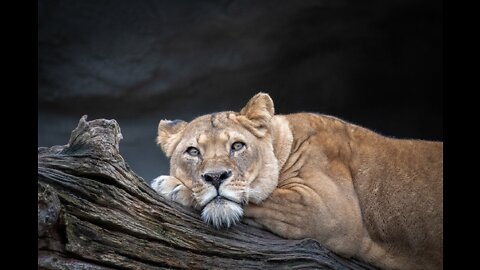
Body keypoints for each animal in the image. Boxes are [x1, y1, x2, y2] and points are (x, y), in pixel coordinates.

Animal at [152, 92, 444, 268]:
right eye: (193, 152)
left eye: (237, 146)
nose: (215, 177)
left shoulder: (331, 211)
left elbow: (263, 197)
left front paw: (173, 186)